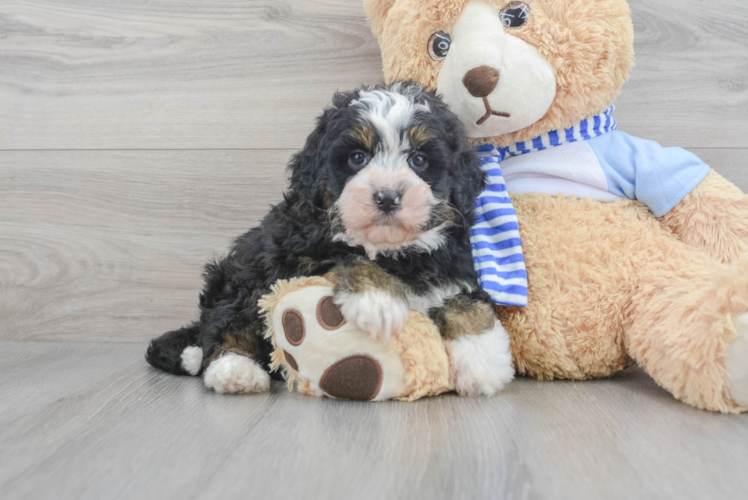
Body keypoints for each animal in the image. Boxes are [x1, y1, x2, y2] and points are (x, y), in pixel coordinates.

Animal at [145, 81, 516, 394]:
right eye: (357, 157)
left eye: (419, 160)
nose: (387, 197)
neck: (395, 253)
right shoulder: (299, 254)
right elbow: (349, 256)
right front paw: (378, 302)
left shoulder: (453, 259)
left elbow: (465, 299)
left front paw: (483, 360)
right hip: (242, 274)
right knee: (226, 321)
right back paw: (234, 369)